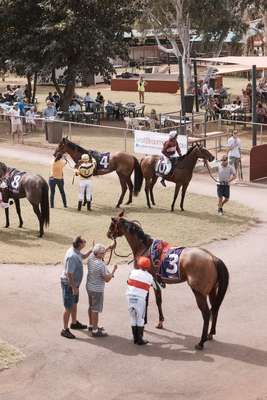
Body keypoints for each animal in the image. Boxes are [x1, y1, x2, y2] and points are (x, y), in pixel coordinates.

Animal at [108, 212, 229, 350]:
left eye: (111, 224)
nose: (108, 234)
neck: (144, 248)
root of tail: (213, 258)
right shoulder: (154, 282)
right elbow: (157, 300)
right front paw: (158, 321)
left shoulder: (149, 281)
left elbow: (150, 301)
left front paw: (148, 321)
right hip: (212, 290)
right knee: (215, 308)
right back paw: (210, 333)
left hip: (199, 292)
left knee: (206, 313)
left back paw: (201, 342)